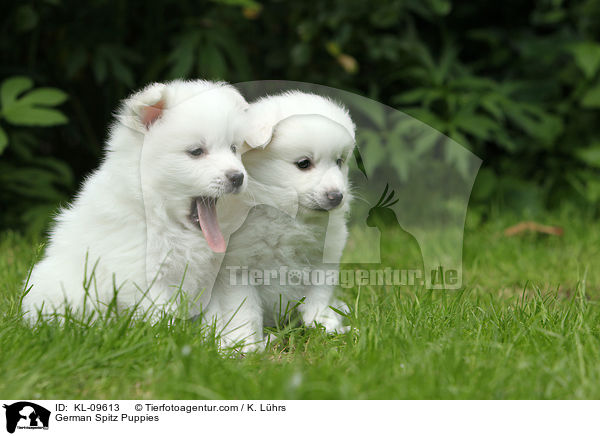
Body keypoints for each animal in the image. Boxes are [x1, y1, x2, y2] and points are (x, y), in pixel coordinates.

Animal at [206, 92, 356, 350]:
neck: (288, 218)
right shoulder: (237, 269)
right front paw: (246, 345)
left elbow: (318, 297)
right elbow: (244, 311)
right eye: (303, 163)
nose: (337, 196)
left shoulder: (323, 260)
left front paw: (326, 327)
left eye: (339, 162)